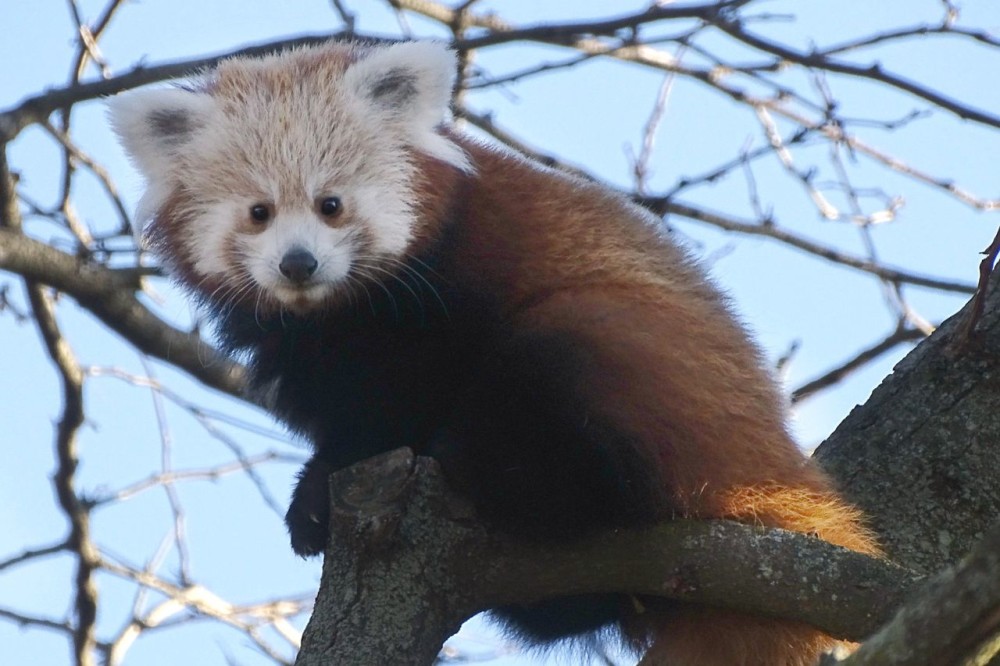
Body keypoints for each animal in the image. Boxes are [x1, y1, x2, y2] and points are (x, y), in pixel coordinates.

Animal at [107, 40, 876, 664]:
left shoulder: (445, 296)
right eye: (259, 213)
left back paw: (499, 474)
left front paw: (341, 477)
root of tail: (779, 467)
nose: (299, 264)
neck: (335, 316)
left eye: (331, 205)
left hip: (645, 365)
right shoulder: (306, 354)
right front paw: (316, 493)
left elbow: (409, 396)